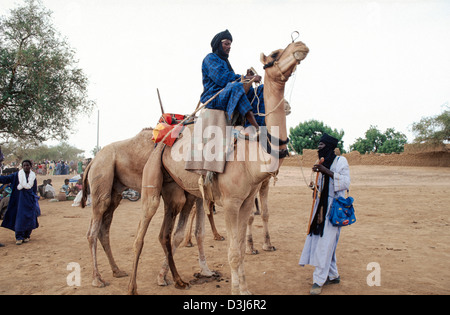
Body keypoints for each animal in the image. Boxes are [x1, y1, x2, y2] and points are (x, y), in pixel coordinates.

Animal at [128, 40, 308, 296]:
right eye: (275, 54)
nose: (300, 45)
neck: (253, 159)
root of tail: (161, 138)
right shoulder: (231, 202)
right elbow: (233, 253)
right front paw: (236, 291)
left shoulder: (245, 202)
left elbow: (240, 248)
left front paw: (245, 289)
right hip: (152, 178)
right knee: (141, 234)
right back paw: (133, 287)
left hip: (180, 192)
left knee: (169, 234)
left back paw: (172, 278)